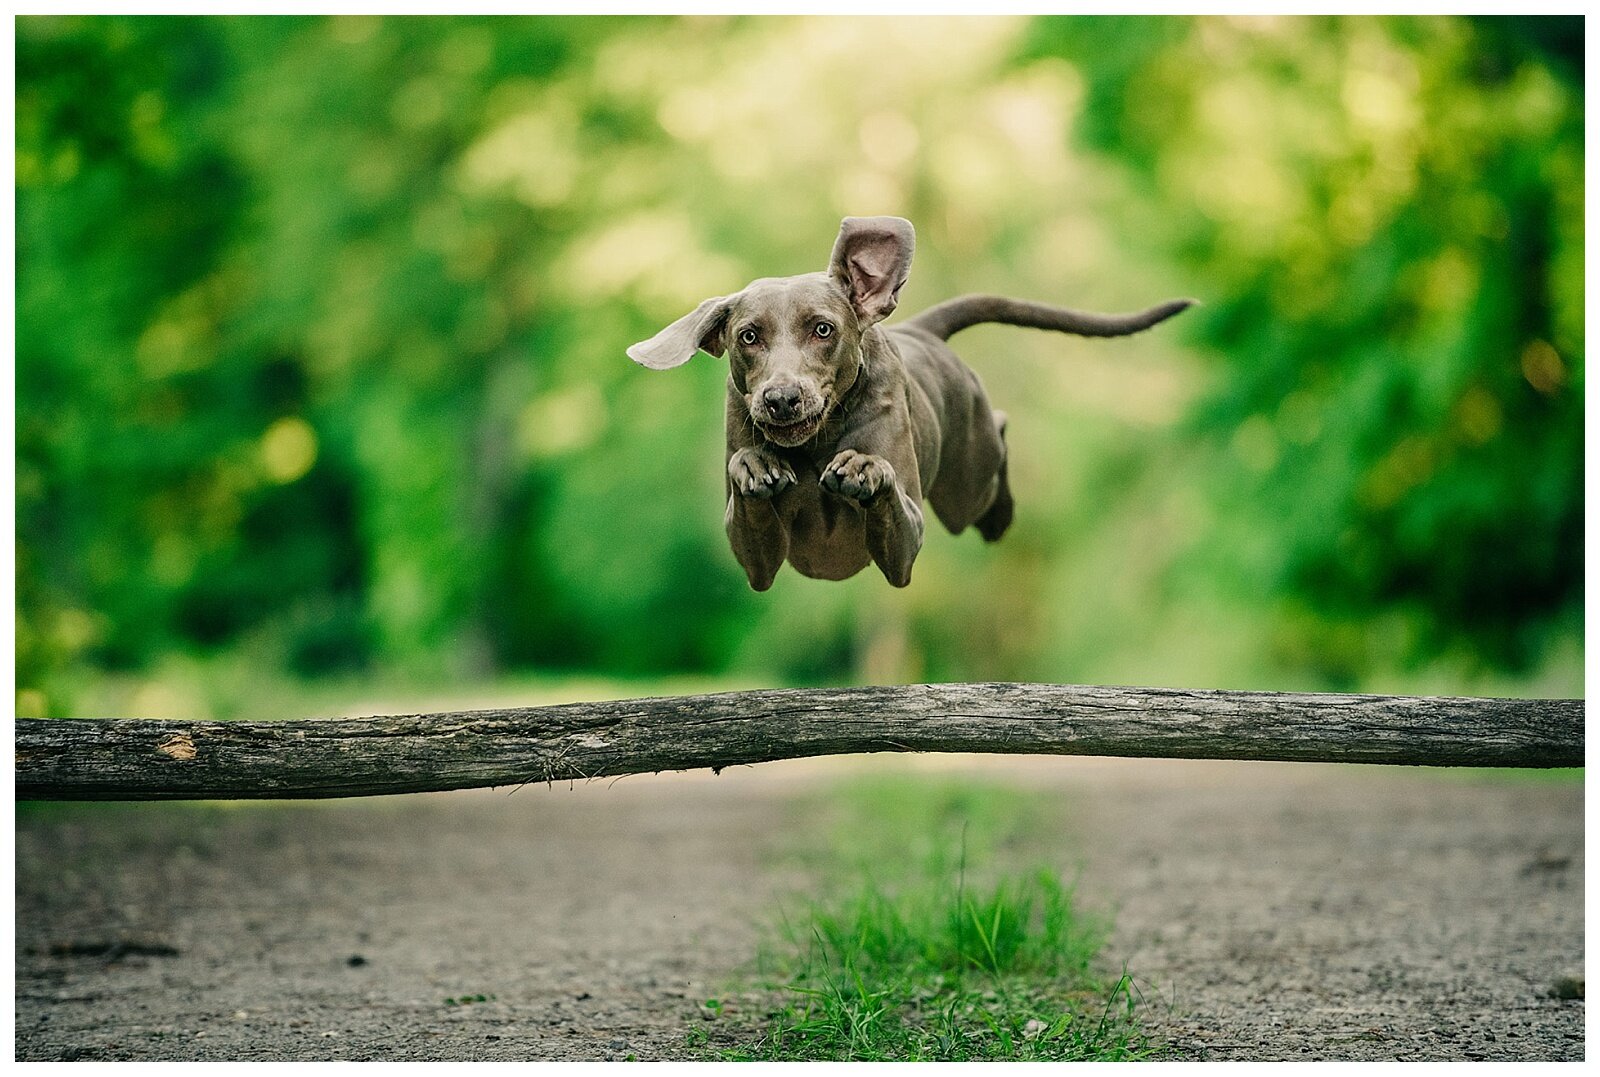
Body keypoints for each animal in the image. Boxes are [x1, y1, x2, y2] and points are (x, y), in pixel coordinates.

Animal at [630, 217, 1196, 588]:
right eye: (748, 336)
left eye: (822, 329)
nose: (781, 399)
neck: (815, 444)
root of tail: (921, 329)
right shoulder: (759, 563)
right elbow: (751, 524)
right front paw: (754, 466)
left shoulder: (905, 546)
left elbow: (888, 500)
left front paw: (865, 468)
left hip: (966, 485)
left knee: (998, 440)